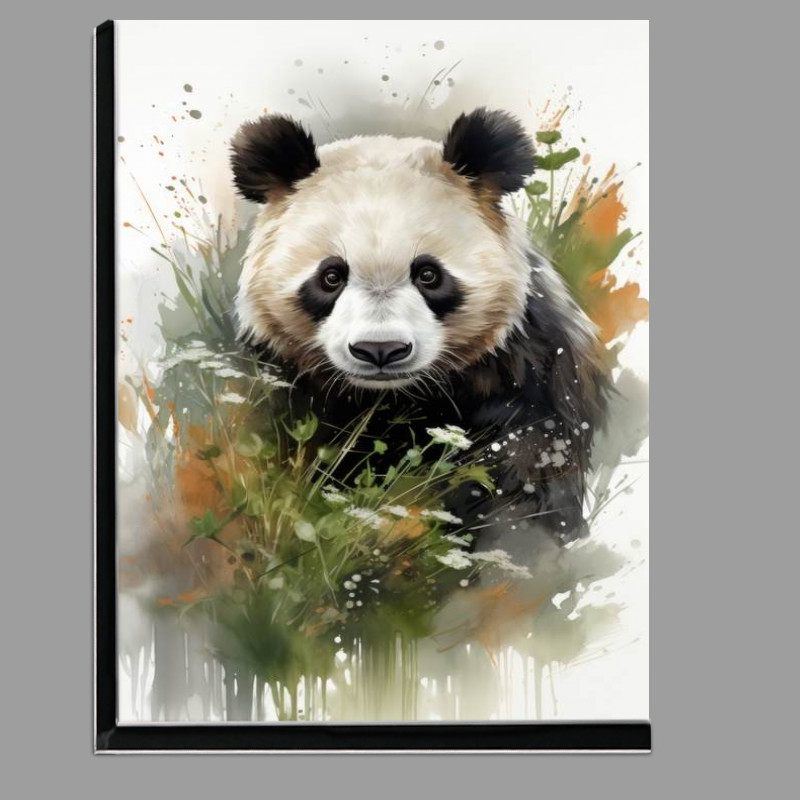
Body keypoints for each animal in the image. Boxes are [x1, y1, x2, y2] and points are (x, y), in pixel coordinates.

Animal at [230, 108, 610, 553]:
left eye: (428, 274)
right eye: (330, 277)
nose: (380, 350)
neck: (396, 398)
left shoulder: (528, 369)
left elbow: (528, 469)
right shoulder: (284, 385)